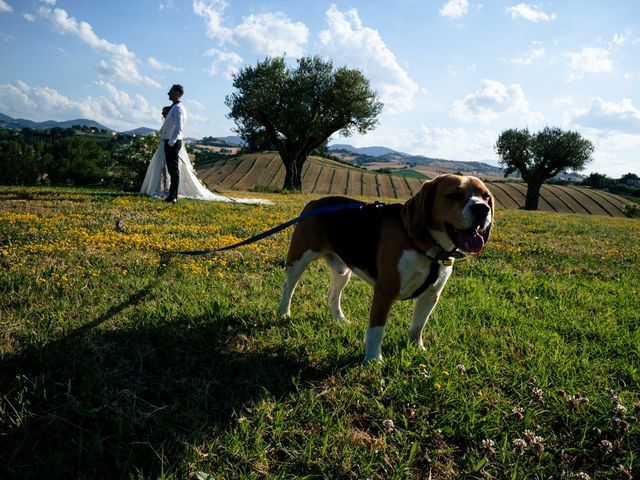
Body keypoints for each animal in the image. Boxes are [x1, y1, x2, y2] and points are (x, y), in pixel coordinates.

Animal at [276, 174, 496, 362]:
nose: (483, 209)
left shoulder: (431, 295)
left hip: (343, 271)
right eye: (454, 194)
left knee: (332, 294)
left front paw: (417, 348)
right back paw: (283, 313)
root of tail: (315, 202)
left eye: (486, 197)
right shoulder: (385, 291)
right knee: (288, 287)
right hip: (299, 259)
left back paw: (340, 320)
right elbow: (377, 329)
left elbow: (418, 325)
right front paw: (374, 360)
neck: (428, 247)